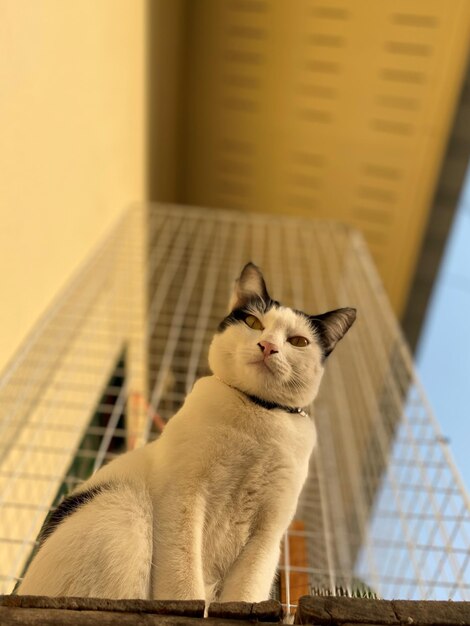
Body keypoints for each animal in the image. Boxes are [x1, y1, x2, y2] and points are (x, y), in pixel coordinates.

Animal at [18, 262, 356, 600]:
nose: (268, 346)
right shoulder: (182, 498)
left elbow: (246, 591)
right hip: (124, 508)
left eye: (298, 342)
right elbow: (184, 584)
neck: (259, 414)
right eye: (253, 322)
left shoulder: (268, 533)